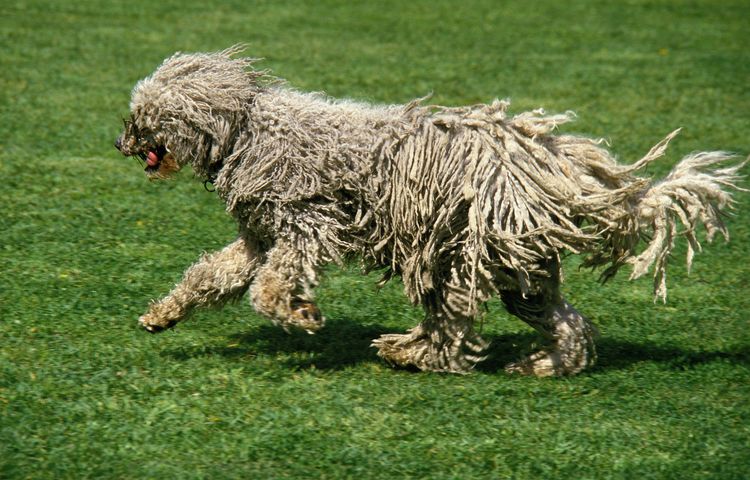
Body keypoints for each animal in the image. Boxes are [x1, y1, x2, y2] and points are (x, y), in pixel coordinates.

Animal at [116, 47, 748, 376]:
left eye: (146, 114)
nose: (120, 140)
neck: (247, 129)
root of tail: (557, 165)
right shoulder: (259, 236)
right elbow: (213, 275)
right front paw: (163, 314)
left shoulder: (308, 224)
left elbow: (269, 287)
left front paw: (302, 315)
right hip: (520, 266)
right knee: (564, 321)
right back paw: (547, 363)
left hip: (465, 252)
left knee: (454, 323)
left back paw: (410, 351)